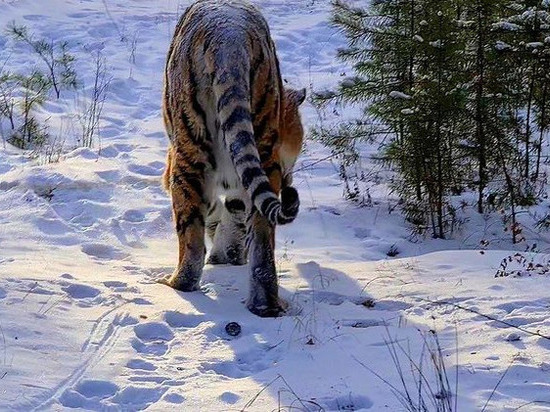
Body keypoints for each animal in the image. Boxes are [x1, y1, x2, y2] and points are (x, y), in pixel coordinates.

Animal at [162, 0, 308, 318]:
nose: (290, 179)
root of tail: (229, 39)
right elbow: (234, 215)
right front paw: (228, 255)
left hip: (188, 156)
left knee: (190, 240)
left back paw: (176, 284)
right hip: (262, 150)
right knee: (263, 242)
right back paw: (265, 304)